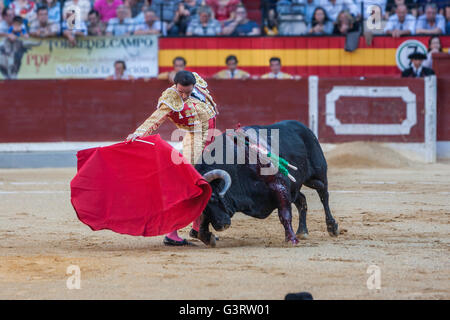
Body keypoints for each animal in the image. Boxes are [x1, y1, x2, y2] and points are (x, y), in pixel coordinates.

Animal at [193, 120, 338, 248]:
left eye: (213, 197)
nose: (221, 225)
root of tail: (304, 128)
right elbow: (203, 222)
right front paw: (208, 238)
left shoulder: (280, 186)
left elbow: (284, 214)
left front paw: (291, 240)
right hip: (295, 186)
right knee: (302, 200)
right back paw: (302, 232)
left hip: (317, 176)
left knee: (324, 195)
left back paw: (332, 227)